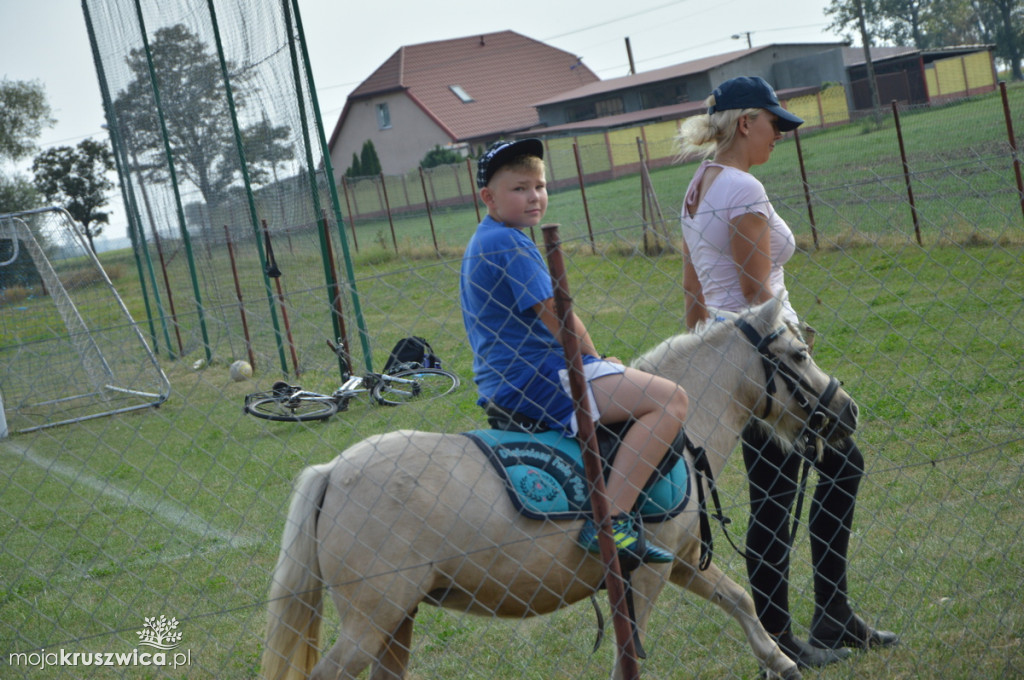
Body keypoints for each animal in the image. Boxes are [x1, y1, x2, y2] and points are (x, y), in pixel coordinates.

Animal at [262, 301, 856, 680]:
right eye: (799, 355)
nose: (846, 409)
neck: (683, 434)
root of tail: (333, 471)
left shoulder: (682, 560)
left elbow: (738, 600)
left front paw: (781, 662)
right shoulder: (648, 575)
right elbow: (628, 654)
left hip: (395, 622)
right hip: (371, 623)